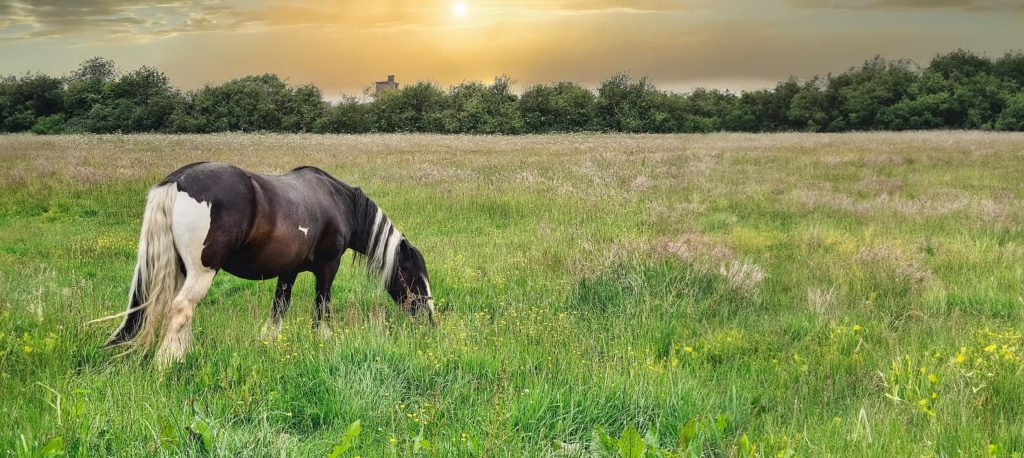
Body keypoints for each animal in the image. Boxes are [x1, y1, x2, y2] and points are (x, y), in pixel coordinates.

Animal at [93, 162, 435, 366]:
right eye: (413, 274)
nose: (430, 319)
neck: (338, 202)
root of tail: (177, 180)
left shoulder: (288, 271)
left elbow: (279, 308)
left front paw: (270, 342)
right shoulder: (328, 267)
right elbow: (322, 307)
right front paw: (324, 342)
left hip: (181, 270)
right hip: (202, 271)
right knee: (181, 308)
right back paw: (169, 362)